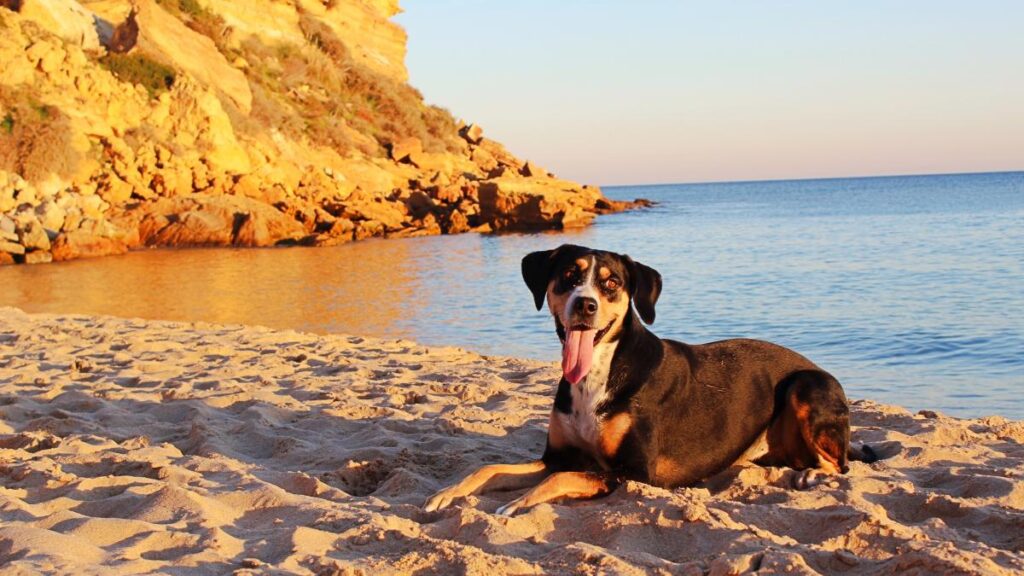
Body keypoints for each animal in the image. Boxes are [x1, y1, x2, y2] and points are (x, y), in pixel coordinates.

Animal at [423, 243, 872, 512]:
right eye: (569, 276)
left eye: (611, 283)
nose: (585, 305)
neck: (598, 374)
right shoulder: (556, 456)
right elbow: (489, 469)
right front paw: (447, 493)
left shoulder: (633, 472)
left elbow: (565, 477)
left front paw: (518, 504)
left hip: (806, 385)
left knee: (840, 465)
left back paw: (812, 472)